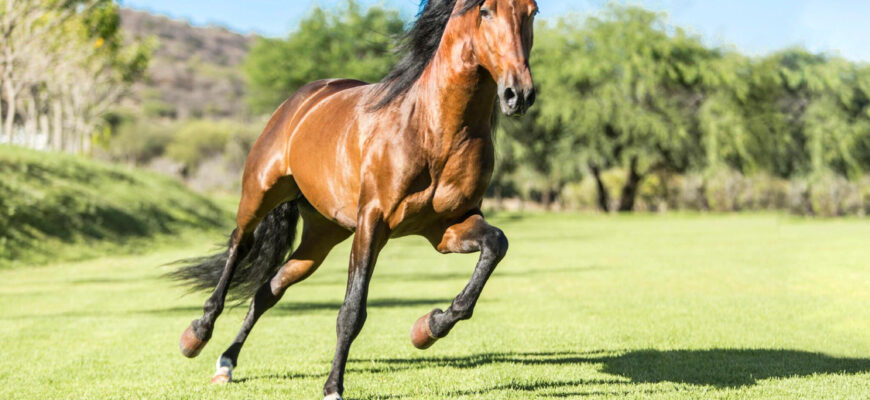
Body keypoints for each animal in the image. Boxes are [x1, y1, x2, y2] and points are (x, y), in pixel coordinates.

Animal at [172, 1, 540, 398]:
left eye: (532, 11)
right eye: (485, 11)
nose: (518, 94)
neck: (433, 130)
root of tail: (304, 98)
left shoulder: (446, 227)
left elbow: (495, 245)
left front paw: (427, 328)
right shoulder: (372, 222)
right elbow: (352, 311)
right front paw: (333, 386)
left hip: (321, 235)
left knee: (268, 290)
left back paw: (226, 363)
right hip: (259, 194)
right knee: (239, 247)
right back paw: (196, 335)